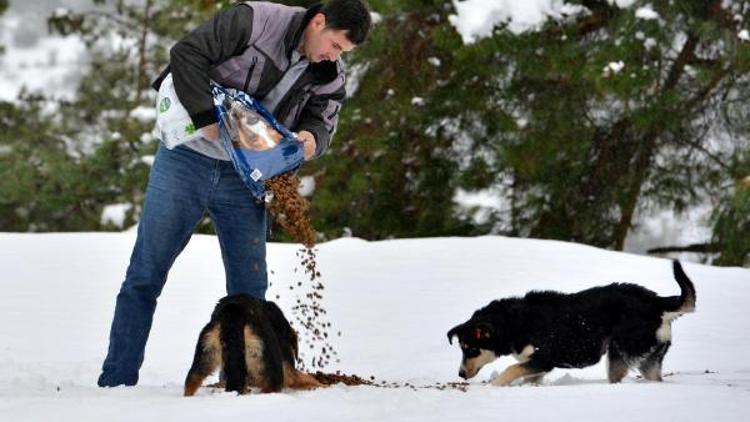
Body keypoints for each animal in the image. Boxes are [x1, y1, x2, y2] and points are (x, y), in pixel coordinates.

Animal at [185, 294, 324, 396]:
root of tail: (234, 310)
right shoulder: (287, 368)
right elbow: (306, 378)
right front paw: (321, 385)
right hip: (275, 369)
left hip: (204, 355)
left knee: (191, 381)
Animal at [446, 260, 700, 386]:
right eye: (462, 349)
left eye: (471, 349)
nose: (460, 374)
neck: (515, 323)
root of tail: (657, 303)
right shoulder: (536, 365)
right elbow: (528, 378)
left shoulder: (543, 359)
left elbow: (510, 369)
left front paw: (494, 386)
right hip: (649, 359)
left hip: (619, 351)